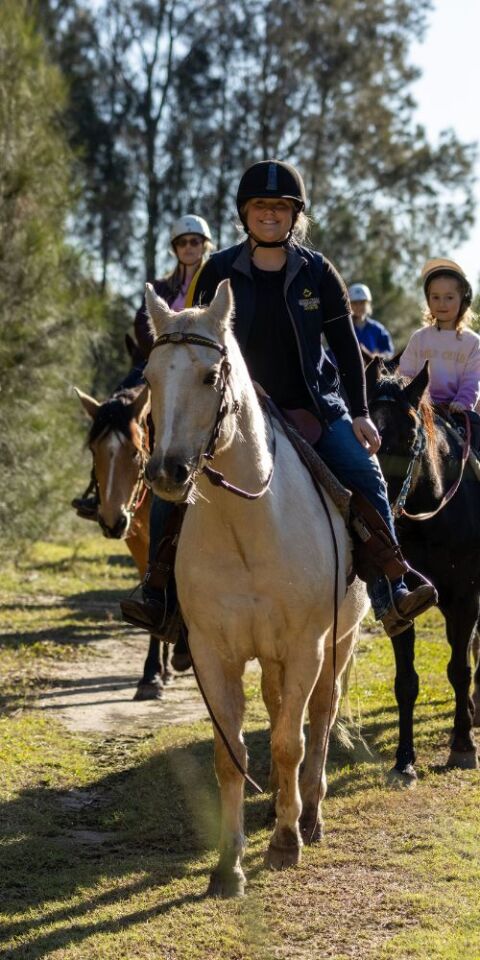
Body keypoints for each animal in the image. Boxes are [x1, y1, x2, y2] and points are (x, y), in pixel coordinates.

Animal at [75, 381, 173, 699]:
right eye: (94, 450)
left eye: (134, 452)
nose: (112, 521)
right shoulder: (139, 541)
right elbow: (151, 591)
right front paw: (153, 672)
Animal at [142, 278, 368, 897]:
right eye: (149, 377)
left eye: (208, 377)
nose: (167, 472)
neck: (248, 526)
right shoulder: (212, 652)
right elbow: (231, 754)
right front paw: (229, 864)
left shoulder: (306, 646)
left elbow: (292, 742)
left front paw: (286, 841)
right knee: (278, 707)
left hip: (339, 645)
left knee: (319, 715)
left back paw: (309, 813)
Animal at [366, 357, 480, 782]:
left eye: (410, 432)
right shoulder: (402, 606)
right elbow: (406, 682)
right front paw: (404, 760)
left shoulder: (465, 598)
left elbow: (459, 669)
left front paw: (463, 746)